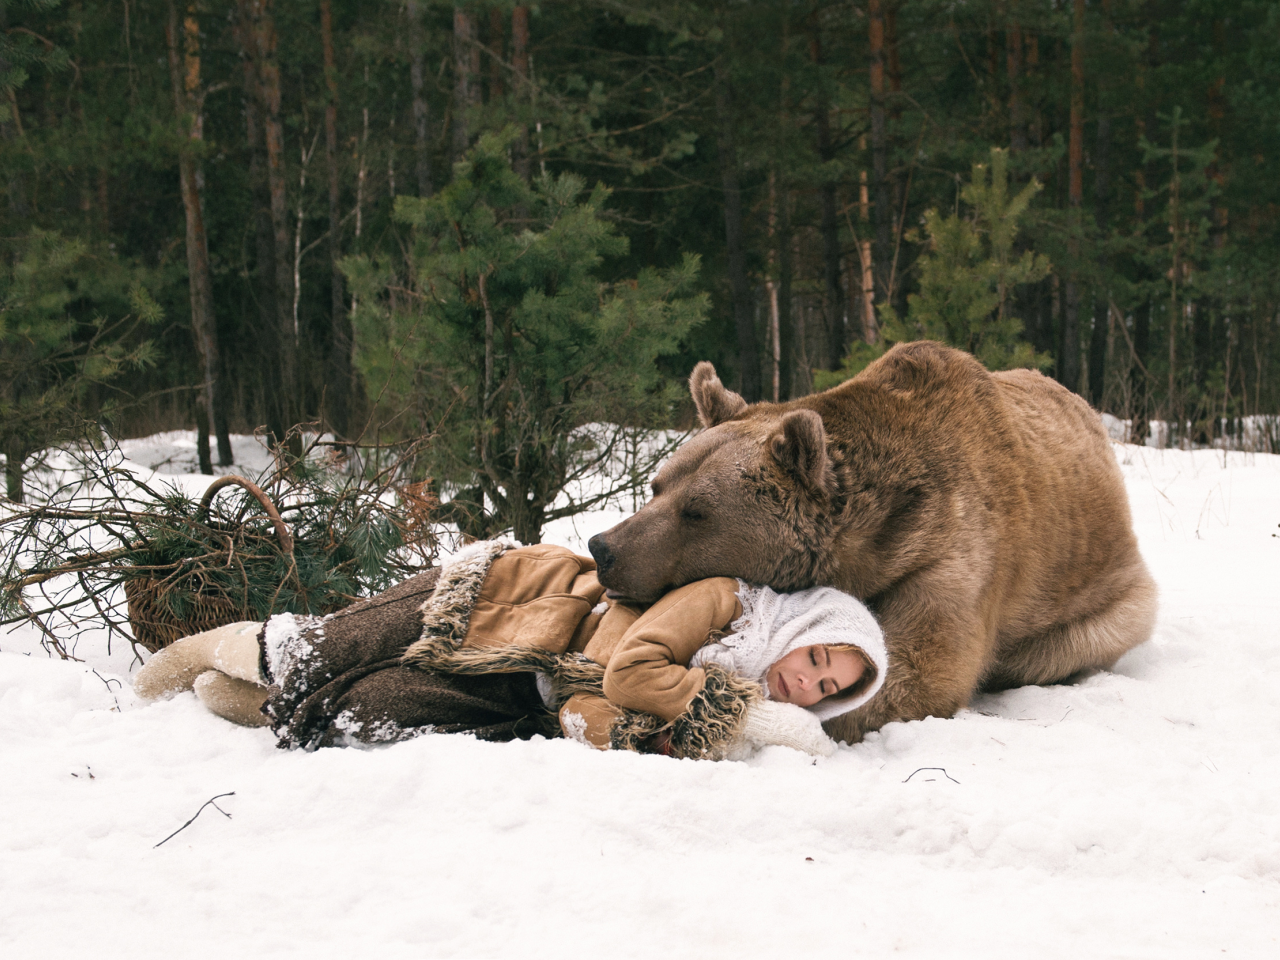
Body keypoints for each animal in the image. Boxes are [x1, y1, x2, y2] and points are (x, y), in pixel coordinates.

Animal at [588, 343, 1162, 747]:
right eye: (658, 486)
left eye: (697, 512)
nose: (603, 547)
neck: (869, 546)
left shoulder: (950, 555)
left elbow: (916, 671)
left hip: (1101, 603)